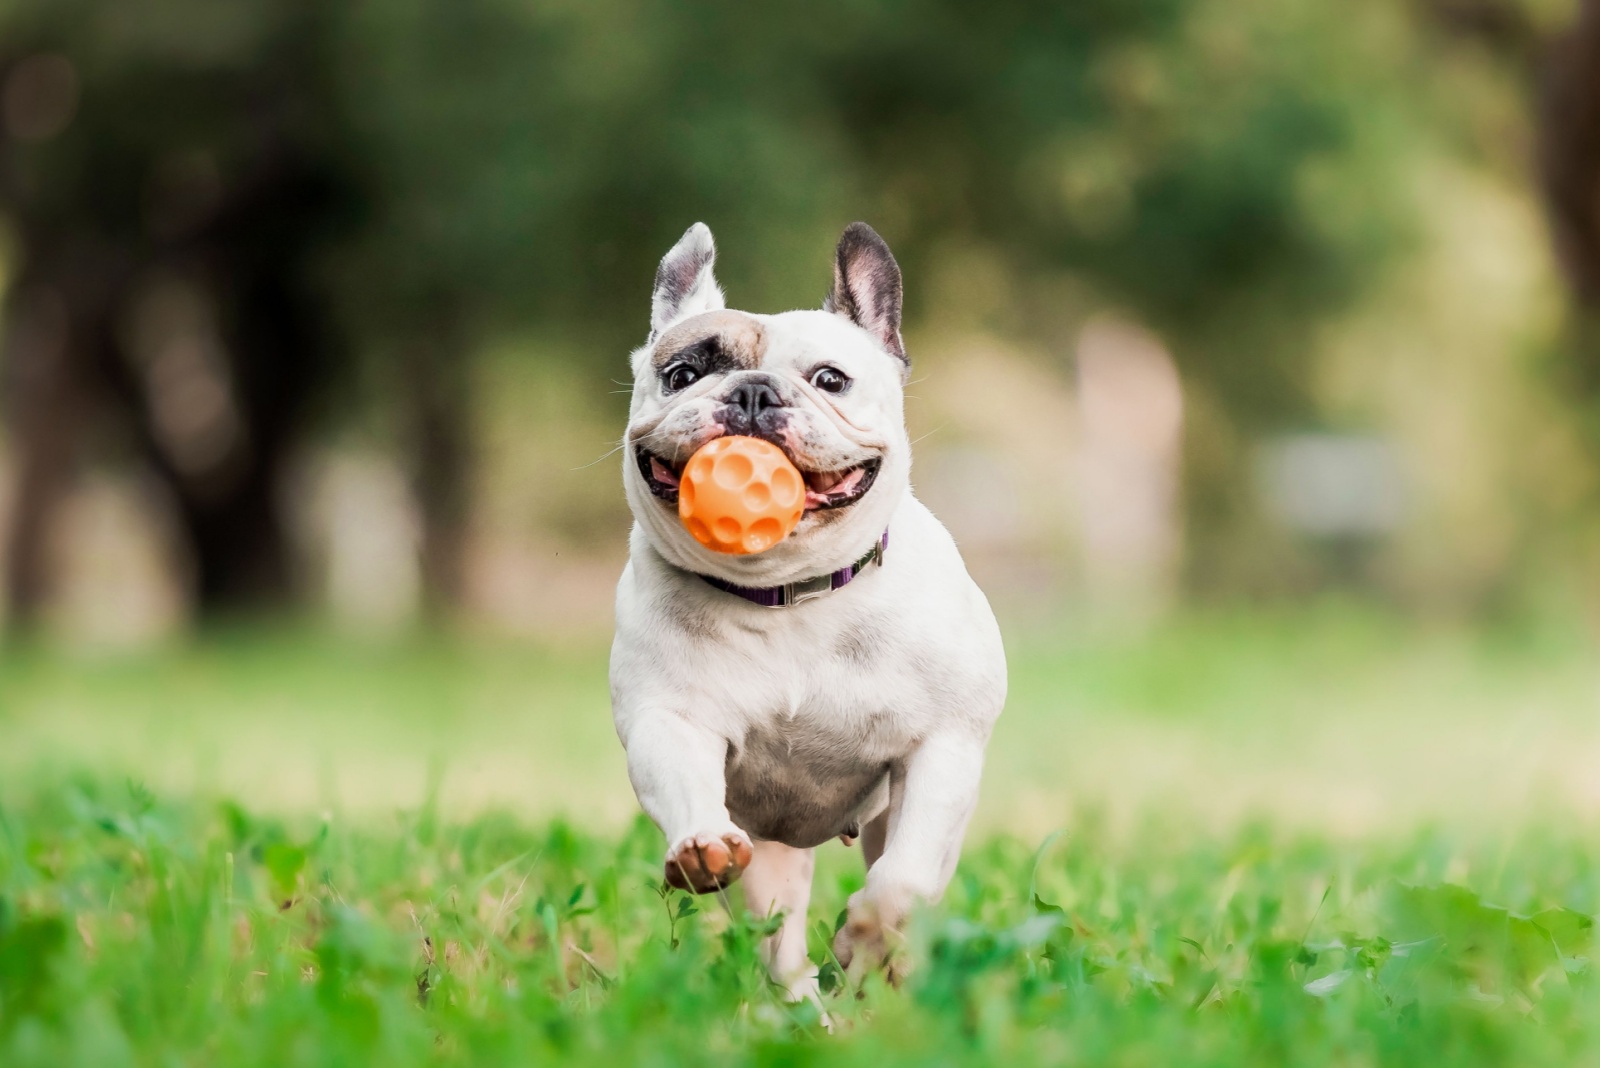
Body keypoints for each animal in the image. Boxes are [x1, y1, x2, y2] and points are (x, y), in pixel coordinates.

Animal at [604, 219, 1004, 1004]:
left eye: (829, 380)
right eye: (682, 375)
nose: (755, 392)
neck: (788, 592)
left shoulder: (943, 747)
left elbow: (903, 881)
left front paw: (864, 940)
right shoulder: (669, 720)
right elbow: (684, 781)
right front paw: (699, 845)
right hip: (770, 856)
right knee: (777, 939)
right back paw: (801, 1009)